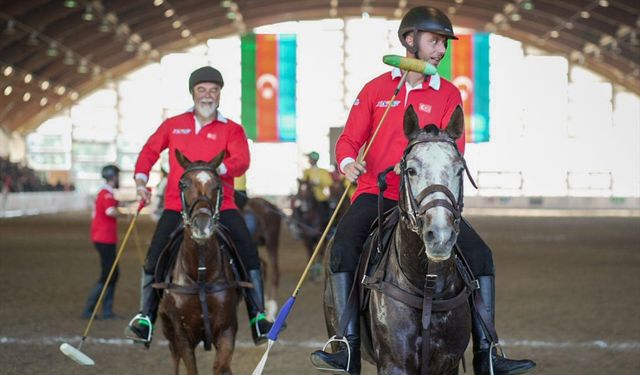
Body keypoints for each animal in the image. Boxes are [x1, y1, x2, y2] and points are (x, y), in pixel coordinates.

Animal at [160, 148, 240, 374]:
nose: (202, 226)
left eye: (217, 185)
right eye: (183, 185)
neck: (201, 273)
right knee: (174, 361)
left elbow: (222, 368)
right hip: (167, 329)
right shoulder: (182, 335)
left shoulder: (227, 330)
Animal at [324, 106, 470, 375]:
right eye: (410, 170)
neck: (427, 286)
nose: (440, 236)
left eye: (459, 170)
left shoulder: (449, 363)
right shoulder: (395, 363)